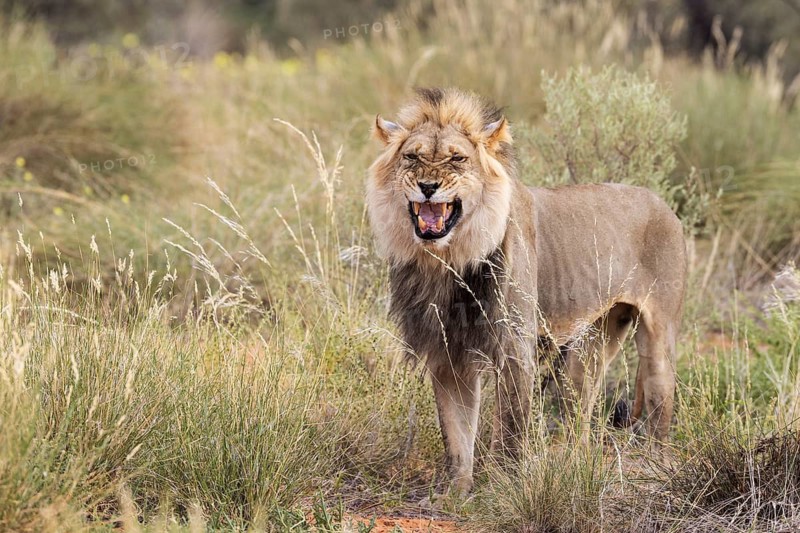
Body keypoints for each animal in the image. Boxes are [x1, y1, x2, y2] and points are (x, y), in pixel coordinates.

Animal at [367, 87, 687, 495]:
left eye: (457, 158)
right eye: (412, 157)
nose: (428, 188)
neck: (446, 261)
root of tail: (661, 202)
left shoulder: (515, 347)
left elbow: (510, 428)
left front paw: (504, 487)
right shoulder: (447, 353)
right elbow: (456, 432)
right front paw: (455, 493)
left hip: (658, 336)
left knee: (661, 404)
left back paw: (652, 467)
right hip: (594, 343)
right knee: (580, 415)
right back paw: (572, 465)